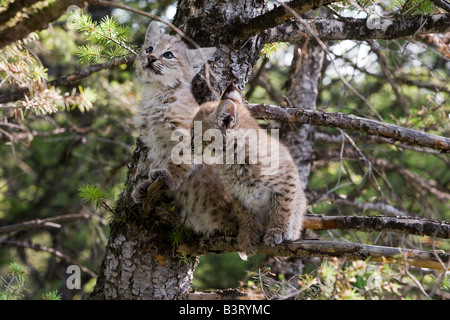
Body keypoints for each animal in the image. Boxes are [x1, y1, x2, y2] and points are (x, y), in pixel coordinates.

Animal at [131, 20, 239, 235]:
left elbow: (181, 159)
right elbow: (158, 161)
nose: (151, 57)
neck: (155, 93)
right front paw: (146, 186)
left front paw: (169, 178)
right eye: (149, 48)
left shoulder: (186, 134)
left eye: (168, 55)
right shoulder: (152, 140)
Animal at [192, 84, 308, 254]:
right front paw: (247, 234)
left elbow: (283, 207)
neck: (232, 158)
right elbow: (244, 212)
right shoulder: (236, 192)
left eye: (195, 135)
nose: (189, 146)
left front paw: (278, 230)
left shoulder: (287, 178)